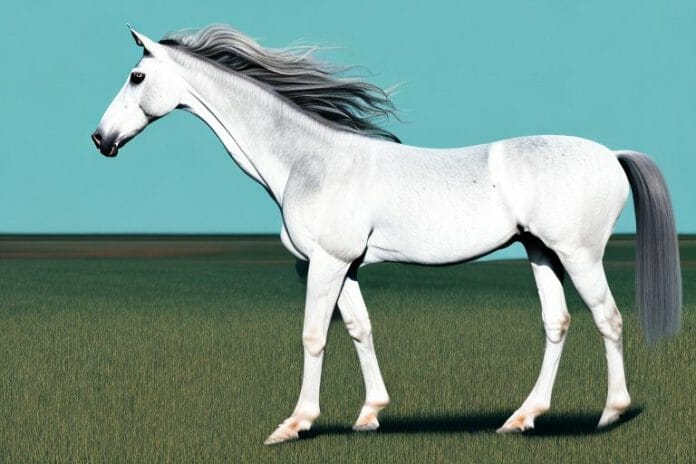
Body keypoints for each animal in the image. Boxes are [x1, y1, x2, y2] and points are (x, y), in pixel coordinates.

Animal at [92, 25, 681, 445]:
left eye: (136, 77)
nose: (101, 139)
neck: (309, 160)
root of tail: (612, 154)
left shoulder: (326, 263)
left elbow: (314, 335)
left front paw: (294, 424)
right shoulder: (344, 267)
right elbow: (360, 330)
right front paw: (369, 415)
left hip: (578, 254)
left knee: (608, 319)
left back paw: (608, 416)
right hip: (540, 253)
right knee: (557, 323)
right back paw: (522, 418)